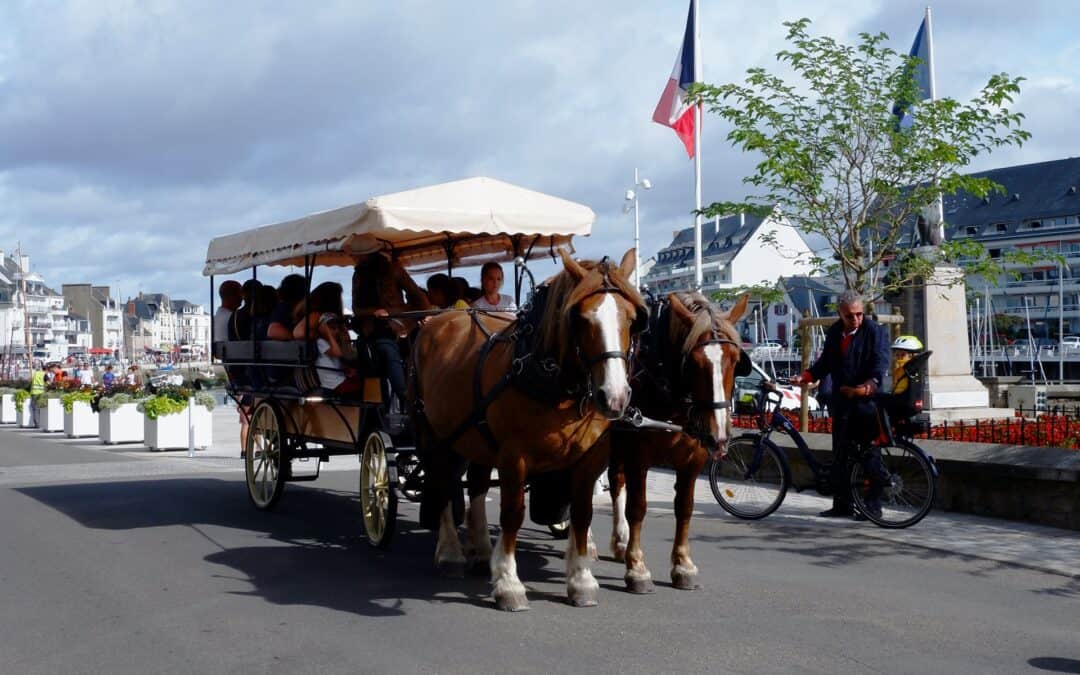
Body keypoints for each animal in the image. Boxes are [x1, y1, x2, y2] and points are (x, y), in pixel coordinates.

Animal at [408, 247, 643, 609]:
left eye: (631, 319)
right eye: (581, 319)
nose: (614, 397)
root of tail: (438, 320)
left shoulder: (589, 457)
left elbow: (582, 512)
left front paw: (581, 579)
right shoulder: (513, 456)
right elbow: (512, 513)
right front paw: (508, 583)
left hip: (475, 435)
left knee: (476, 484)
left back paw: (480, 551)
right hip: (435, 434)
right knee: (444, 481)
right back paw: (450, 553)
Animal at [604, 289, 747, 587]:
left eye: (735, 360)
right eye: (693, 362)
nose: (718, 436)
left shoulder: (693, 459)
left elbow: (684, 507)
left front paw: (683, 564)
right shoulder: (638, 455)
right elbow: (638, 506)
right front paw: (636, 567)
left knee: (615, 481)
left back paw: (619, 541)